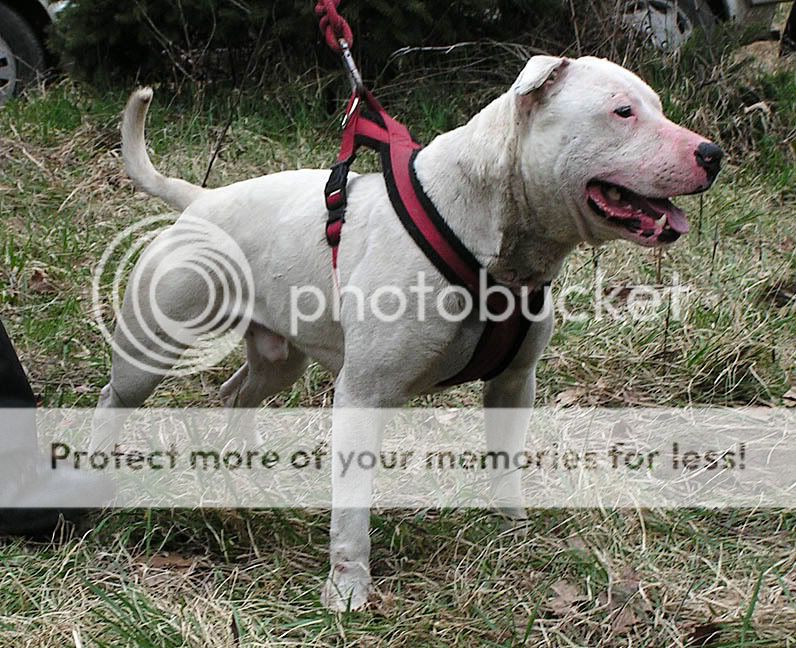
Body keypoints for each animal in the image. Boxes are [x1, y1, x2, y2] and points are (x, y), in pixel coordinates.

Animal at [98, 57, 720, 612]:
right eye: (622, 112)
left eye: (657, 107)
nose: (712, 154)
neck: (490, 237)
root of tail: (200, 199)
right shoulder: (362, 394)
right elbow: (352, 505)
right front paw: (348, 588)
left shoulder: (514, 385)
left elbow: (505, 462)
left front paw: (511, 524)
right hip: (149, 352)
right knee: (115, 398)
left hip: (280, 359)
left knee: (236, 393)